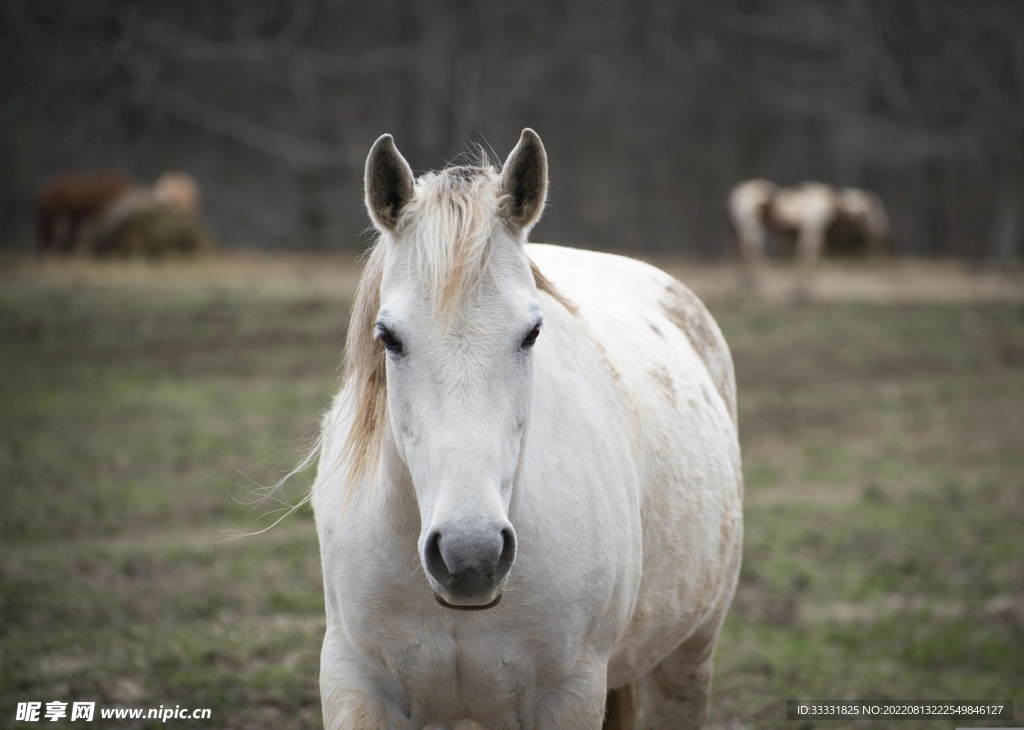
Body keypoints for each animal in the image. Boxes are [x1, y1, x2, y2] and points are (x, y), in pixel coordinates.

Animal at [309, 129, 743, 730]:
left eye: (533, 332)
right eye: (388, 336)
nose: (470, 555)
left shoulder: (570, 694)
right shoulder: (355, 684)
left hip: (687, 658)